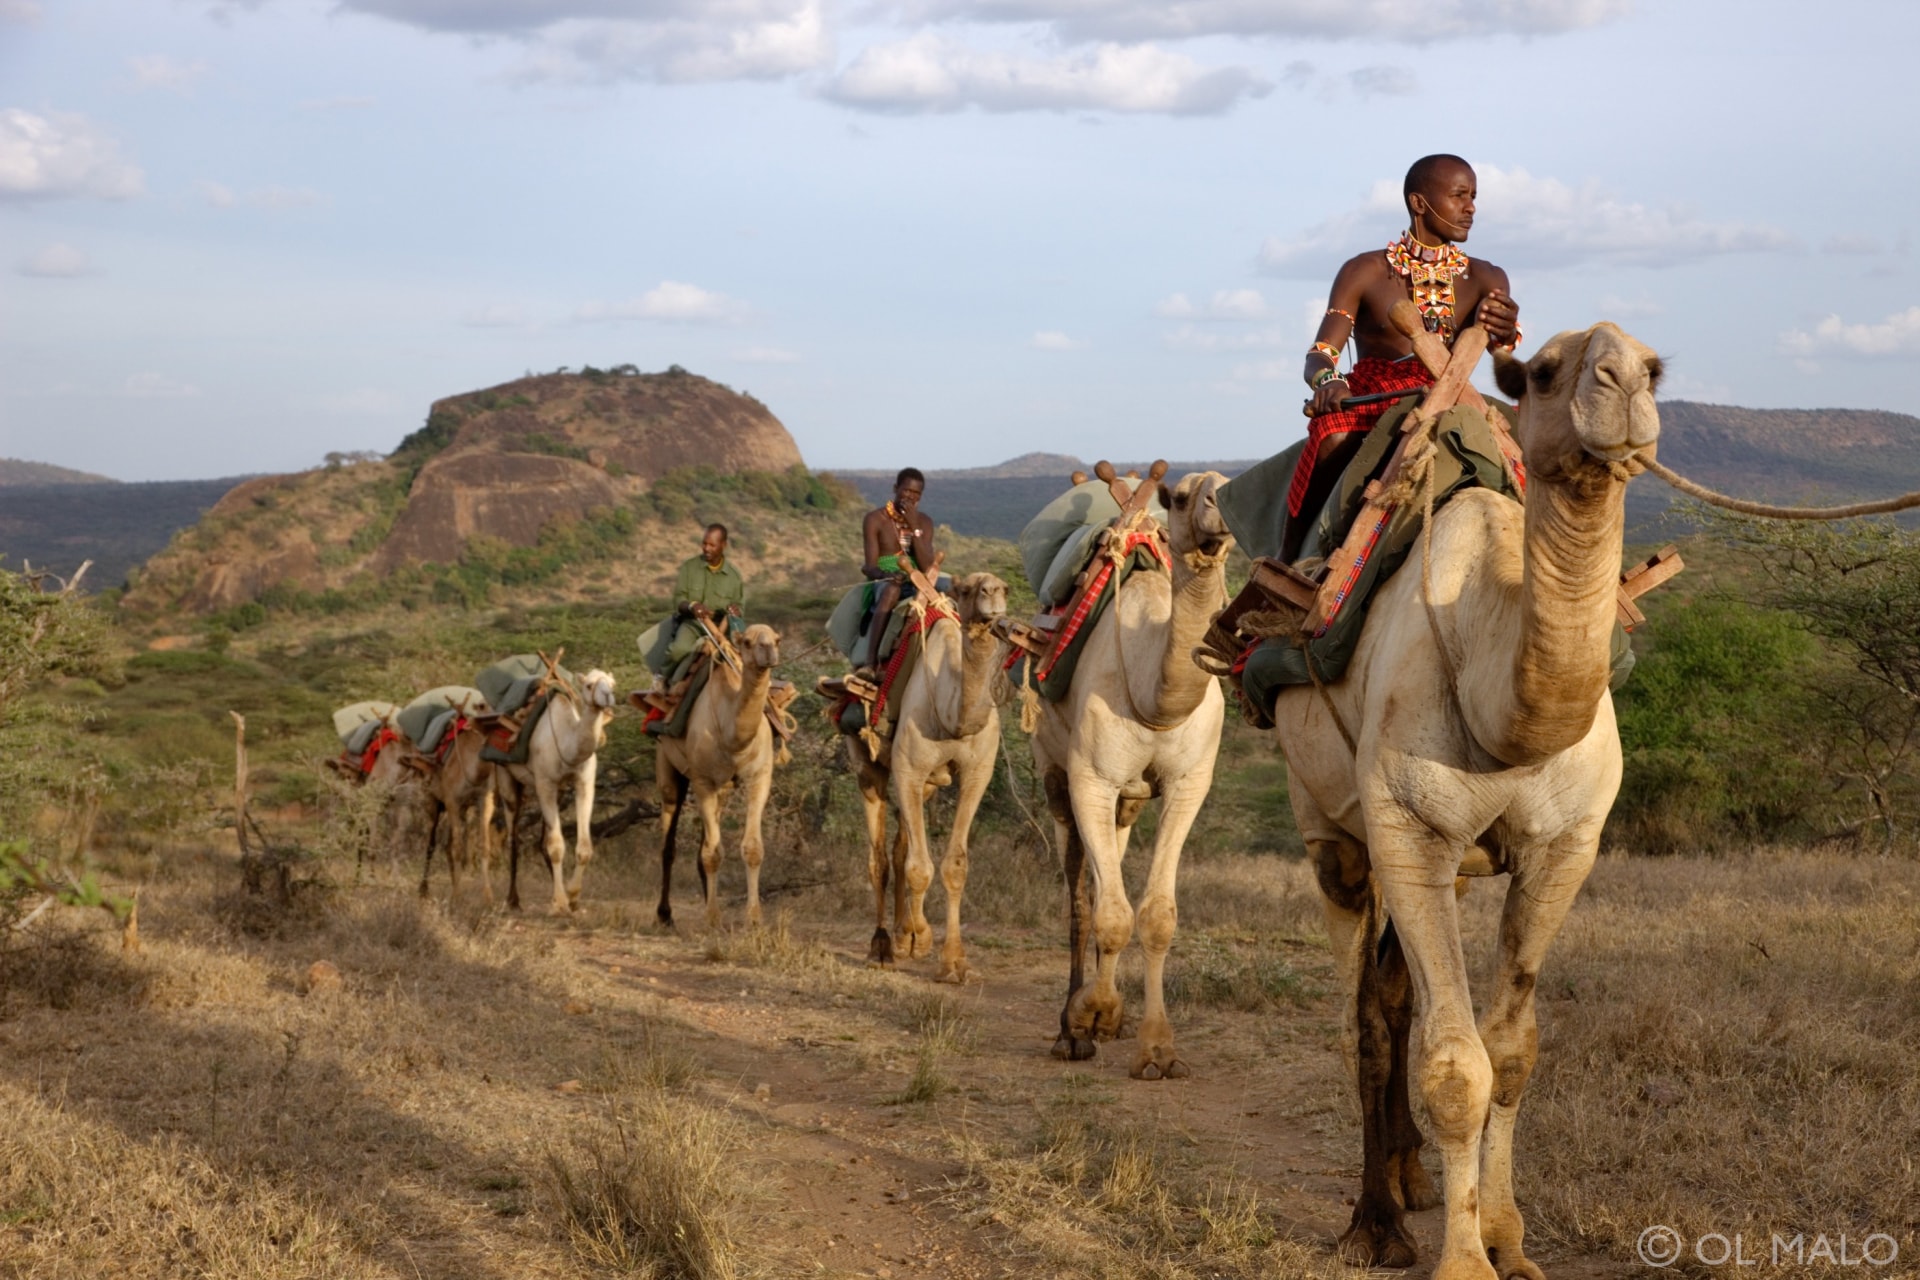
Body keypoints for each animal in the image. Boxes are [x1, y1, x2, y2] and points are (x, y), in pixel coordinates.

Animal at [474, 671, 614, 909]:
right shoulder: (545, 784)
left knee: (539, 840)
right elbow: (556, 847)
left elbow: (584, 847)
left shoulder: (584, 783)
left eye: (612, 684)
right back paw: (512, 899)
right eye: (589, 685)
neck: (567, 742)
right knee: (513, 837)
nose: (608, 697)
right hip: (505, 776)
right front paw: (560, 903)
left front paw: (572, 896)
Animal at [656, 625, 783, 924]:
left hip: (722, 789)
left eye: (776, 639)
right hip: (667, 766)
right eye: (747, 642)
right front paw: (712, 919)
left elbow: (752, 848)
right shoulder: (702, 781)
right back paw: (664, 914)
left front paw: (754, 918)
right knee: (668, 841)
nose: (769, 651)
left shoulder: (759, 777)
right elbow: (712, 853)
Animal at [848, 571, 1013, 982]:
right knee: (879, 858)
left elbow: (954, 865)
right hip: (866, 763)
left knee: (899, 847)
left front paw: (953, 962)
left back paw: (901, 933)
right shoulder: (908, 769)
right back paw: (882, 947)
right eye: (968, 590)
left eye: (1004, 586)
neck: (953, 714)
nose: (993, 594)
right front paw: (921, 939)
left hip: (926, 786)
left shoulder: (976, 775)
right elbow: (919, 867)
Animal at [1036, 470, 1228, 1082]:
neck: (1153, 693)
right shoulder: (1089, 779)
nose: (1219, 511)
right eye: (1185, 496)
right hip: (1054, 773)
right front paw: (1091, 1015)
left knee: (1110, 869)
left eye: (1229, 483)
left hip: (1130, 799)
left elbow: (1156, 915)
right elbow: (1110, 914)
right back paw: (1069, 1029)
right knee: (1079, 893)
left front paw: (1157, 1050)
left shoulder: (1189, 785)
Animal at [1282, 322, 1674, 1280]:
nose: (1623, 382)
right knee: (1364, 1015)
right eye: (1543, 372)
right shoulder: (1408, 831)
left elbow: (1512, 1050)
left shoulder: (1566, 846)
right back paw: (1375, 1222)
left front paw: (1506, 1236)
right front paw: (1462, 1260)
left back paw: (1412, 1179)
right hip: (1333, 837)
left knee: (1392, 996)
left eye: (1656, 367)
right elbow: (1455, 1064)